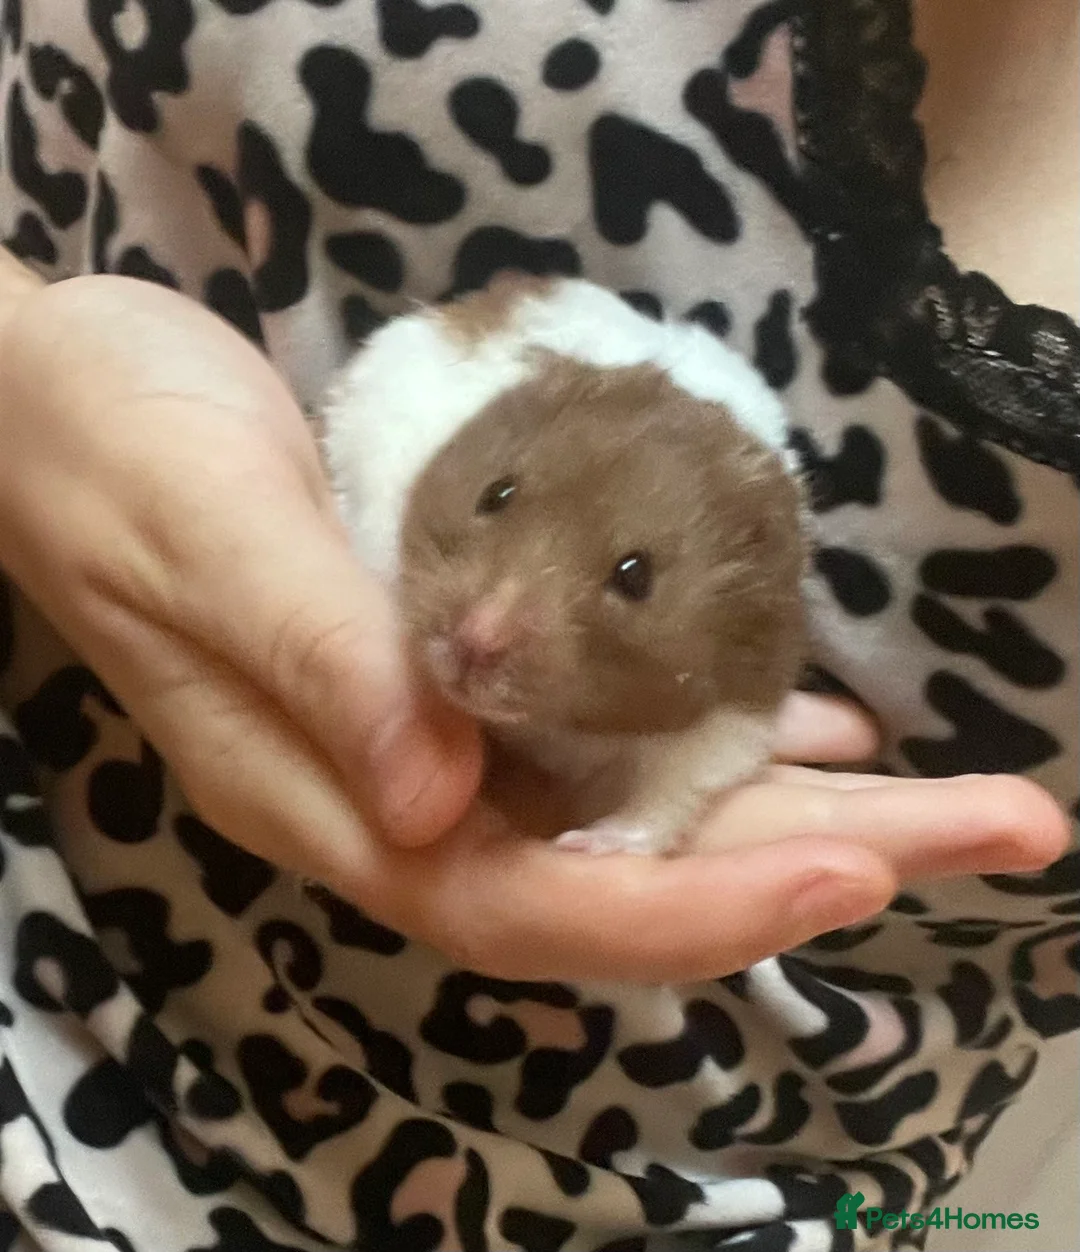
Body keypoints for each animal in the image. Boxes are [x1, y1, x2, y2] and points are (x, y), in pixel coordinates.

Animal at [321, 274, 807, 855]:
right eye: (495, 493)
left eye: (635, 575)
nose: (474, 640)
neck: (561, 726)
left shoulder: (732, 712)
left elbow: (667, 798)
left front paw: (589, 843)